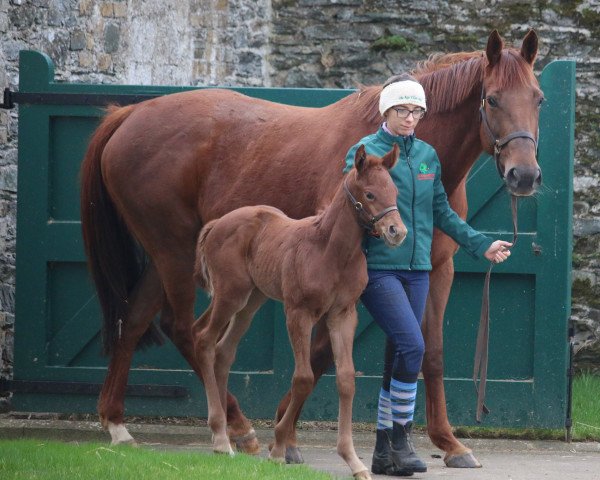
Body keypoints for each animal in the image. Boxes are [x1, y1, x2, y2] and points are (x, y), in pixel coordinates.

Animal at [195, 144, 406, 478]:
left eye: (395, 191)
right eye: (370, 194)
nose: (397, 231)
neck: (331, 252)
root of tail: (217, 223)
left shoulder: (343, 314)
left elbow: (346, 379)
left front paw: (353, 459)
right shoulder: (298, 313)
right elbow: (303, 378)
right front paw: (279, 449)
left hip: (251, 301)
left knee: (223, 350)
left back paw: (228, 434)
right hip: (230, 294)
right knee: (204, 339)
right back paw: (220, 439)